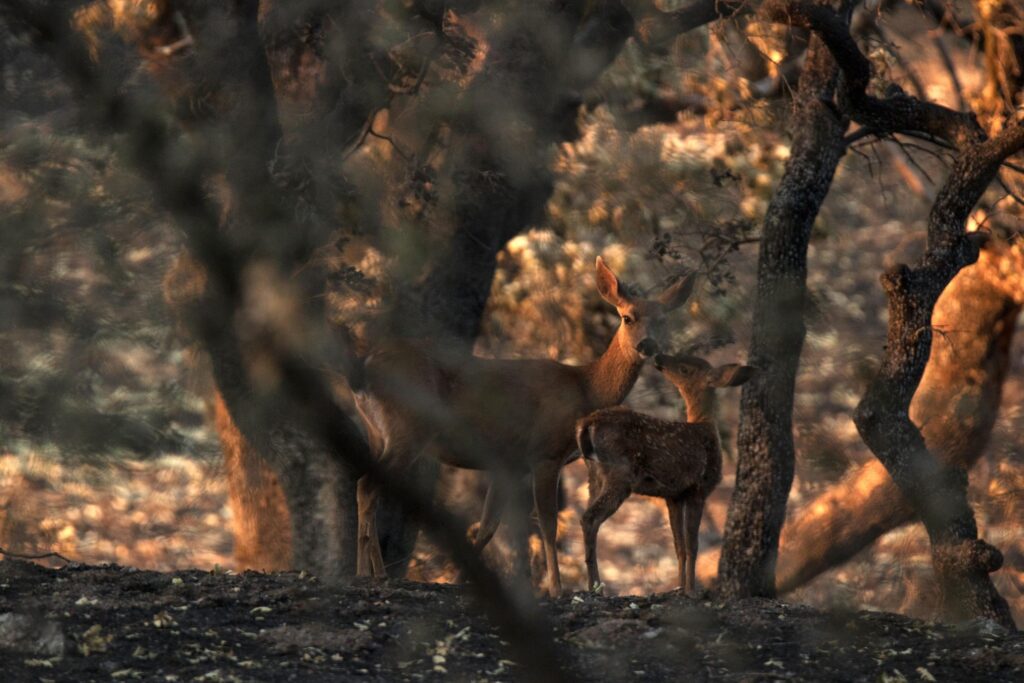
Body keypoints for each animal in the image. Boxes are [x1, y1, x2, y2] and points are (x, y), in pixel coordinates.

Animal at [352, 254, 696, 593]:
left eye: (663, 320)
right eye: (627, 317)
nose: (647, 345)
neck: (585, 387)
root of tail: (364, 372)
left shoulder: (508, 463)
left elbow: (488, 526)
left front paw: (466, 581)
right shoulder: (545, 452)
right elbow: (547, 523)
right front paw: (557, 589)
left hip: (377, 432)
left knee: (366, 483)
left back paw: (373, 571)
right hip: (408, 426)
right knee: (367, 485)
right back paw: (367, 573)